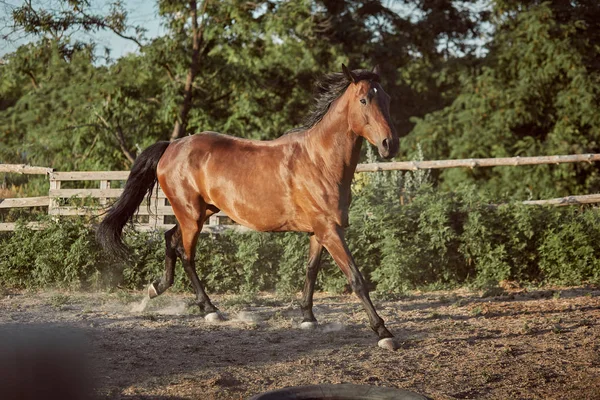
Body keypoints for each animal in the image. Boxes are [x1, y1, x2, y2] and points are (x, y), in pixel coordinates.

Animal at [97, 64, 398, 348]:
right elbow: (356, 279)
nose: (389, 144)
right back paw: (210, 310)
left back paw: (157, 288)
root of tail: (172, 146)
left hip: (202, 211)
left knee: (170, 238)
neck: (319, 161)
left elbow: (311, 270)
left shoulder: (319, 231)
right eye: (363, 100)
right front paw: (383, 333)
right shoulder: (330, 230)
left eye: (386, 98)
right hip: (191, 216)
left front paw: (308, 318)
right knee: (186, 254)